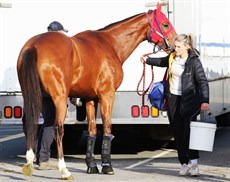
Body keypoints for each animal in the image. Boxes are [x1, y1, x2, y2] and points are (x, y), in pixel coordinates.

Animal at [17, 3, 176, 181]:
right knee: (58, 128)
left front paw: (92, 166)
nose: (175, 44)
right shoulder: (107, 95)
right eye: (165, 24)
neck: (110, 44)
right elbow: (107, 128)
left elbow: (92, 131)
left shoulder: (90, 98)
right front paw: (107, 166)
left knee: (28, 122)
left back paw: (29, 163)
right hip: (59, 98)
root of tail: (35, 45)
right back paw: (64, 170)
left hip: (30, 95)